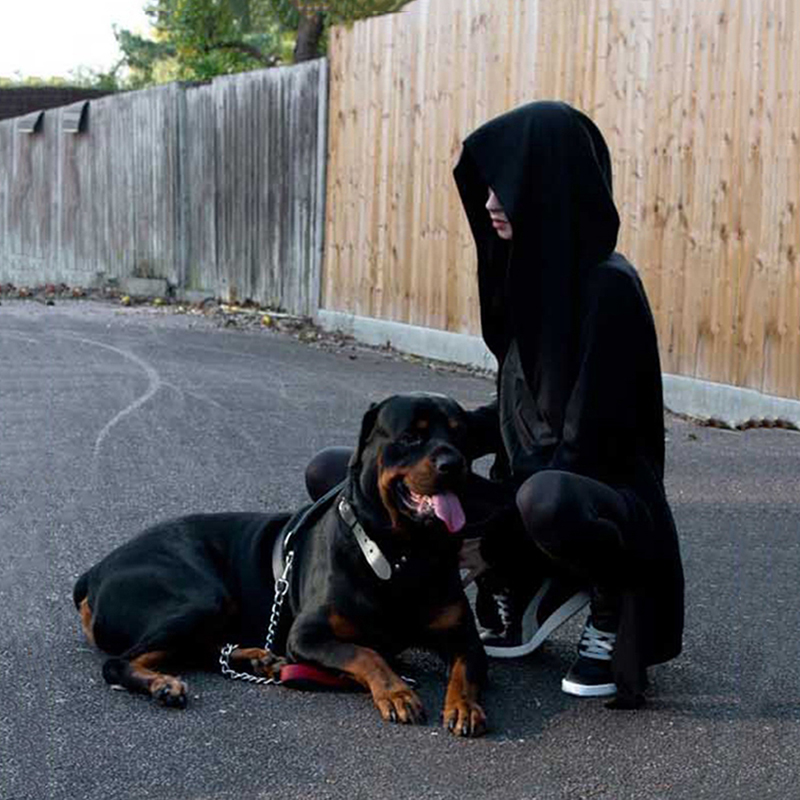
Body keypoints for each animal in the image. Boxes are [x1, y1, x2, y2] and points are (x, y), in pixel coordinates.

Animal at [73, 393, 488, 736]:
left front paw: (464, 707)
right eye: (411, 436)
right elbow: (365, 653)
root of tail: (94, 572)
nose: (454, 463)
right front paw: (397, 692)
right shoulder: (307, 635)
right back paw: (164, 683)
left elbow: (466, 667)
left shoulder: (462, 634)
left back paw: (254, 659)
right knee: (119, 662)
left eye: (462, 436)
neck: (402, 552)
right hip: (202, 595)